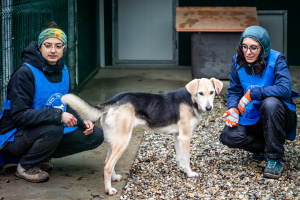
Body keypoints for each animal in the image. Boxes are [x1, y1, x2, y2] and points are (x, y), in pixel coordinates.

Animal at [61, 78, 223, 195]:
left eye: (212, 92)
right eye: (200, 93)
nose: (209, 108)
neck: (191, 99)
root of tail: (114, 100)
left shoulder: (178, 136)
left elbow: (180, 158)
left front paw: (182, 169)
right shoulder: (185, 137)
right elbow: (187, 159)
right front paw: (189, 173)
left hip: (114, 141)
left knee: (107, 162)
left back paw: (114, 178)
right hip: (123, 141)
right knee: (107, 166)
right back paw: (109, 190)